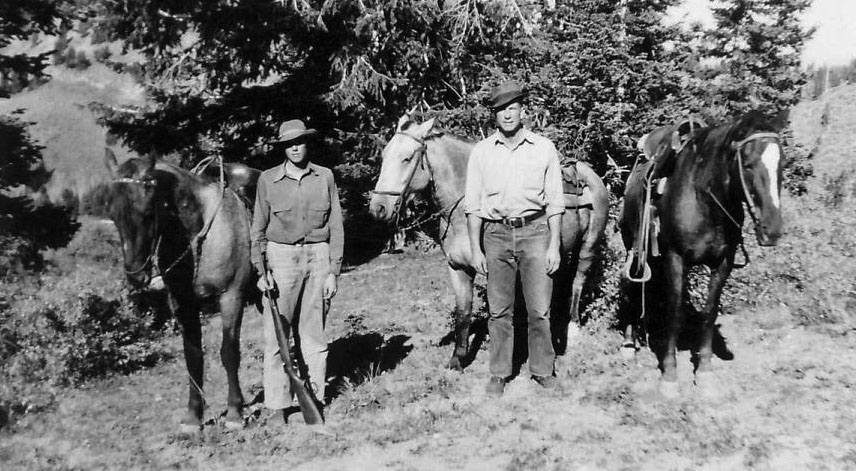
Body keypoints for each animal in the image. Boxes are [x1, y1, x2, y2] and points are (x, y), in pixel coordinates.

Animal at [104, 149, 258, 434]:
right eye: (112, 212)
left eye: (148, 211)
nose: (136, 276)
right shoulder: (183, 305)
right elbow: (193, 356)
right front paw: (193, 417)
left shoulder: (232, 297)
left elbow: (229, 352)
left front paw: (234, 412)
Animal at [368, 115, 608, 372]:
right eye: (384, 155)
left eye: (407, 158)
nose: (378, 208)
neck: (464, 212)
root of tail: (591, 176)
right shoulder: (457, 268)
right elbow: (463, 312)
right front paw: (458, 359)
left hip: (589, 246)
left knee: (578, 281)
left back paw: (573, 328)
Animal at [620, 111, 784, 398]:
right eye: (748, 164)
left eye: (781, 164)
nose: (772, 229)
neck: (703, 198)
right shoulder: (675, 259)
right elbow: (675, 313)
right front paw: (670, 377)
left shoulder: (723, 264)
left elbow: (709, 313)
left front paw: (705, 373)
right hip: (636, 249)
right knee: (633, 287)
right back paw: (630, 344)